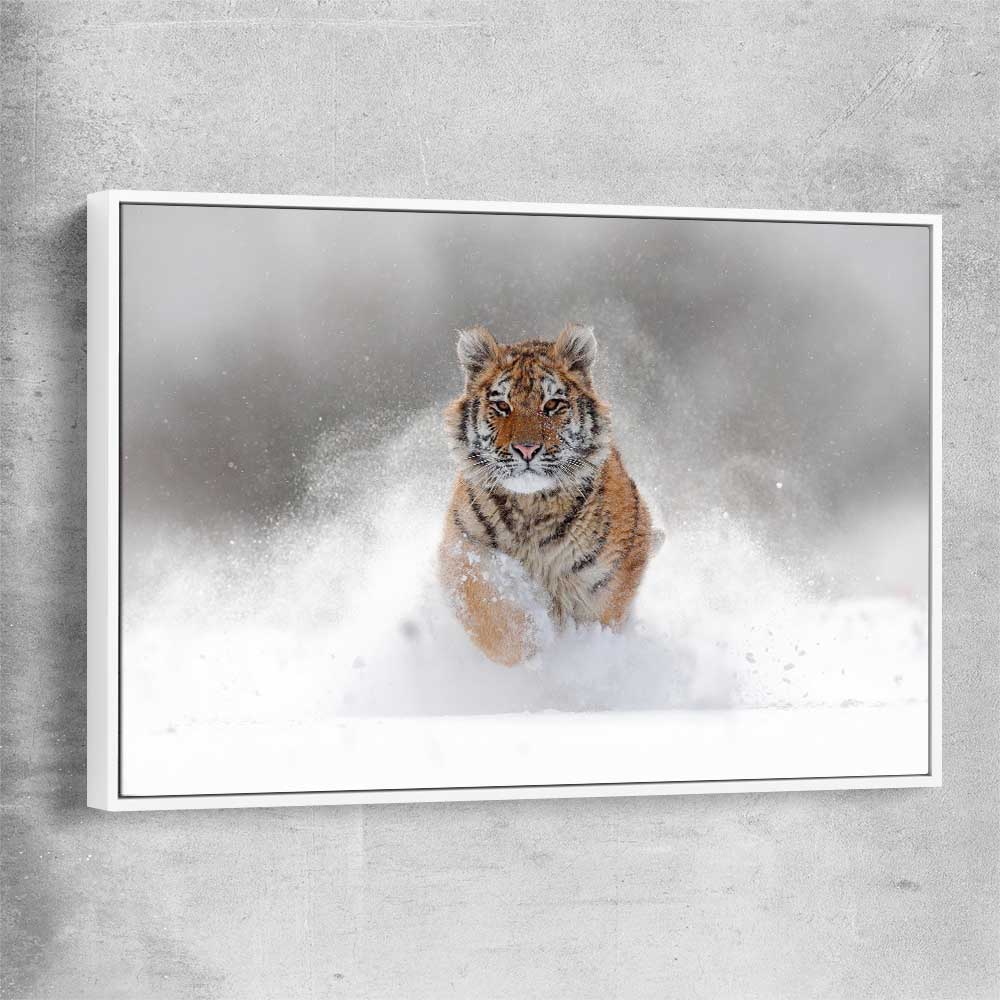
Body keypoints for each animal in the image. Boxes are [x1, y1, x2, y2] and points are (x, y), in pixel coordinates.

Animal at [439, 322, 661, 666]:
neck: (531, 507)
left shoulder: (608, 577)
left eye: (552, 405)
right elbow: (493, 613)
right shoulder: (463, 550)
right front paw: (529, 650)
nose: (526, 449)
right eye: (502, 406)